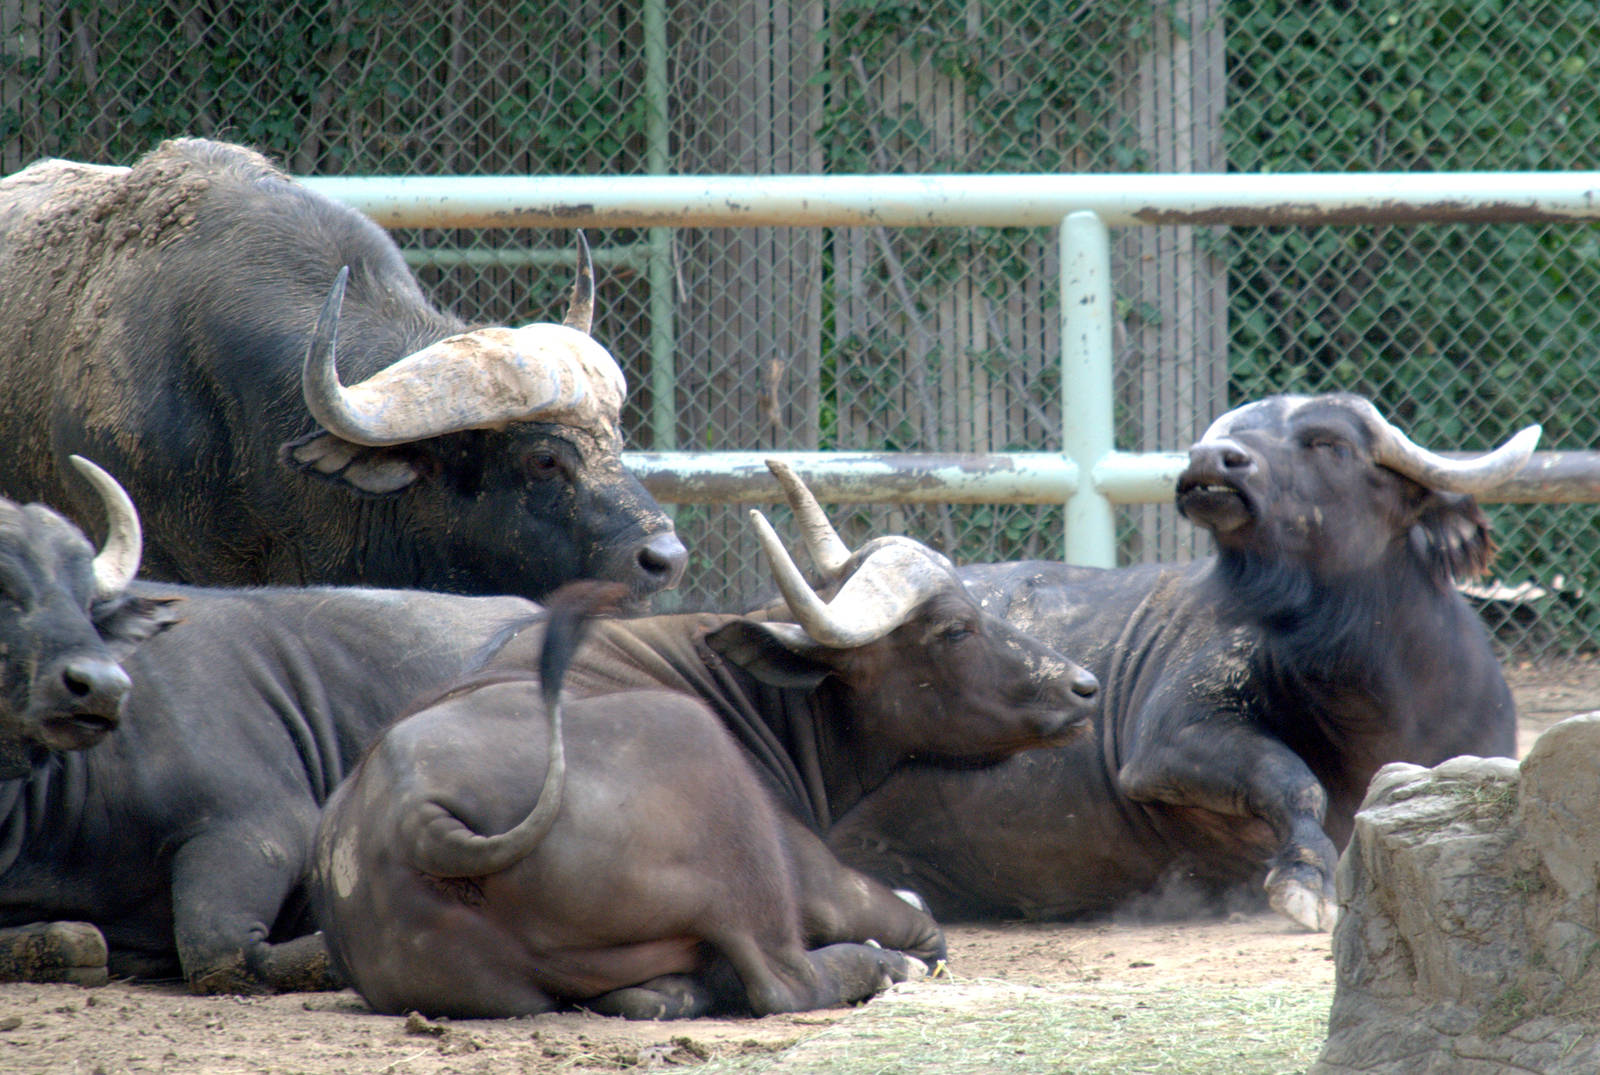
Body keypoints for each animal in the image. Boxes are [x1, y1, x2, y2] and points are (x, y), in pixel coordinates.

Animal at [310, 462, 1101, 1019]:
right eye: (955, 629)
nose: (1085, 686)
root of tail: (420, 812)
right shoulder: (823, 881)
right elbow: (923, 920)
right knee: (786, 979)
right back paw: (874, 965)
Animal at [826, 393, 1535, 933]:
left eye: (1329, 443)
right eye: (1235, 433)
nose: (1210, 461)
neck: (1374, 699)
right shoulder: (1168, 740)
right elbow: (1293, 777)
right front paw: (1306, 877)